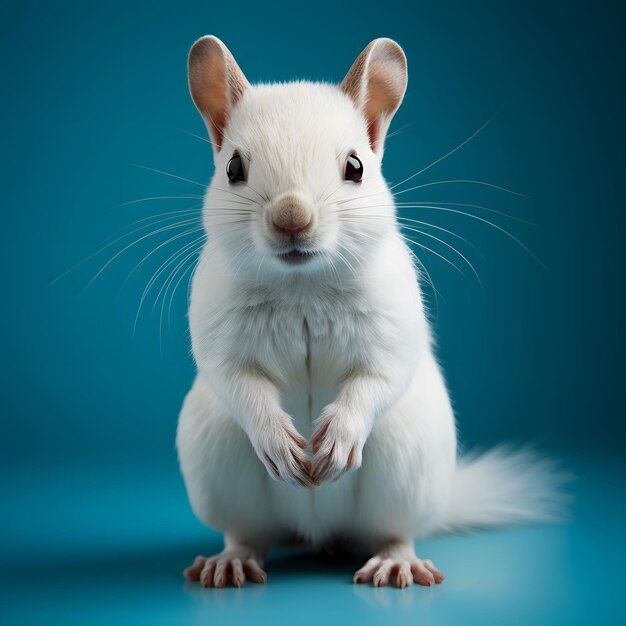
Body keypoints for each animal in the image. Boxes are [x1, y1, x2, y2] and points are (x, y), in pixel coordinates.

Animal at [176, 36, 560, 588]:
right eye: (233, 168)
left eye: (355, 167)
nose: (292, 218)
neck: (302, 286)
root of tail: (316, 534)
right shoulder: (217, 331)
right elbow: (236, 380)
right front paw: (279, 442)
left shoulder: (393, 324)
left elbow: (380, 375)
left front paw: (338, 438)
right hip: (216, 455)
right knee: (247, 532)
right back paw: (231, 561)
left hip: (405, 463)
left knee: (392, 530)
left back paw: (396, 560)